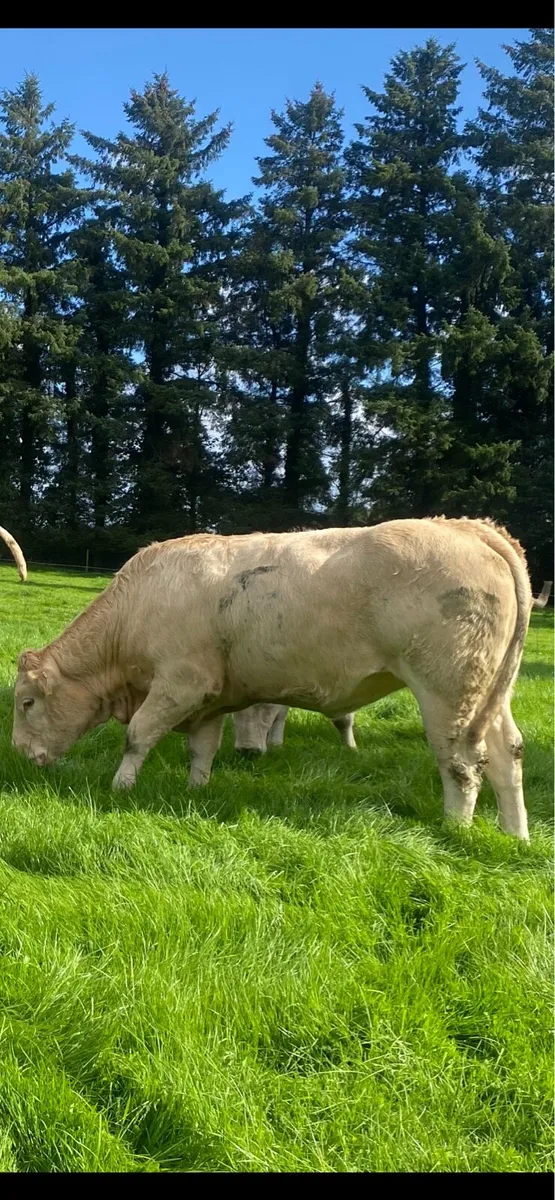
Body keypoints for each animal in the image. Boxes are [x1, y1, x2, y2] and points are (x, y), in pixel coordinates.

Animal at [12, 517, 533, 838]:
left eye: (26, 703)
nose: (18, 752)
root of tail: (467, 527)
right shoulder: (209, 696)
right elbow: (202, 749)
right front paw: (195, 792)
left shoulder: (180, 682)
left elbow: (138, 735)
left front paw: (120, 789)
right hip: (490, 694)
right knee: (507, 754)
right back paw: (515, 835)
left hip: (448, 688)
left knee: (462, 762)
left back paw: (455, 830)